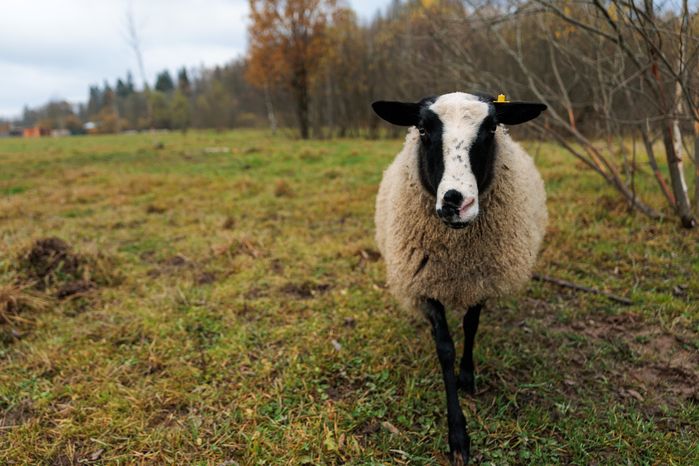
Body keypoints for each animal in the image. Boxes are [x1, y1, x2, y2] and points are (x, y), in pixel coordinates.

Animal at [371, 92, 547, 465]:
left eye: (492, 127)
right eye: (423, 129)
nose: (456, 202)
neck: (456, 254)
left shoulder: (481, 280)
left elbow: (470, 327)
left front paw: (467, 376)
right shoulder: (426, 285)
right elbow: (445, 349)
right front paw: (458, 436)